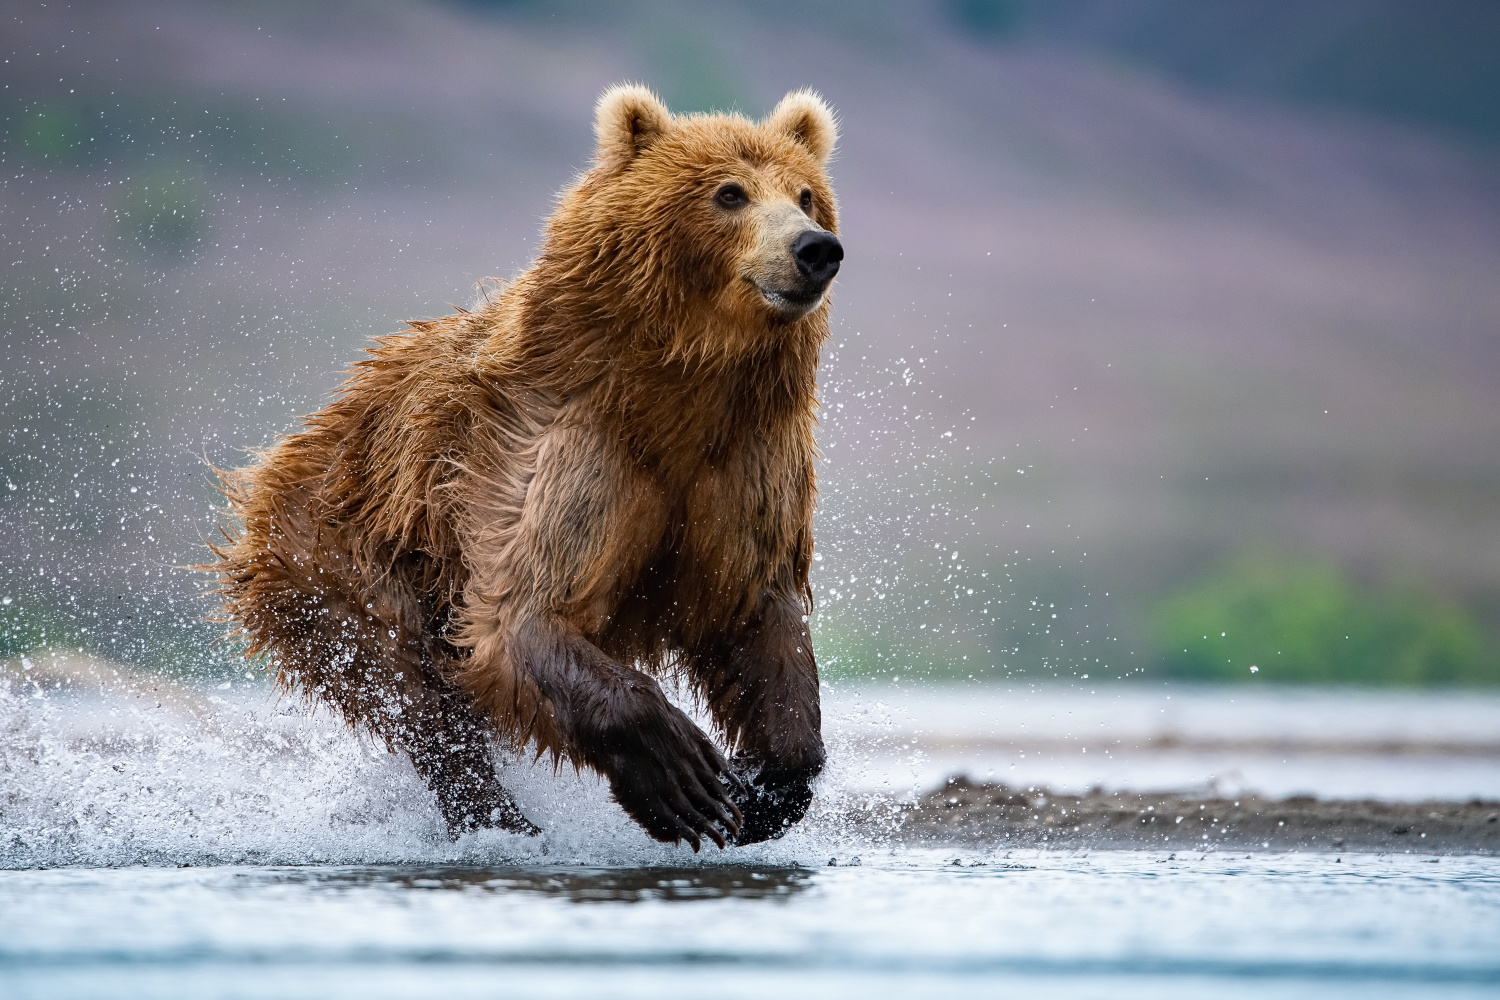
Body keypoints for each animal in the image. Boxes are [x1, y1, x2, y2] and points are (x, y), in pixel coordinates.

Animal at [208, 88, 846, 851]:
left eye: (807, 195)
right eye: (729, 192)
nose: (814, 248)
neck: (678, 392)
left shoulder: (745, 464)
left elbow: (754, 613)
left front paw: (763, 785)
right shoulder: (569, 447)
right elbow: (527, 609)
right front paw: (682, 774)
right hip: (333, 549)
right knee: (407, 686)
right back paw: (495, 816)